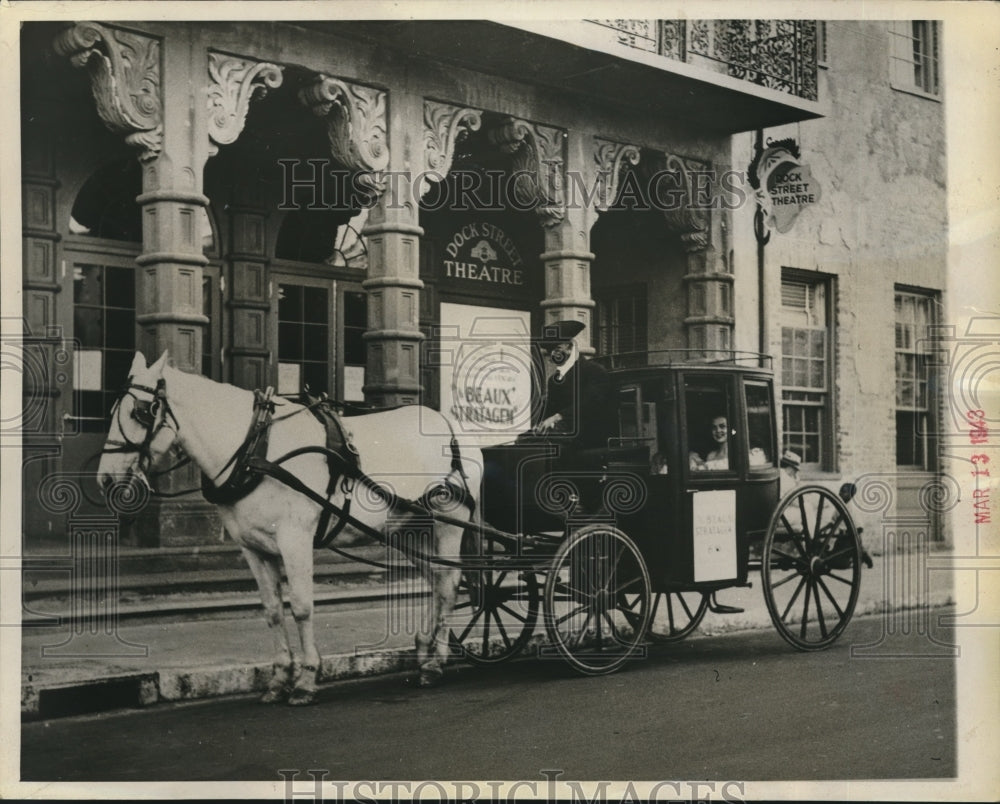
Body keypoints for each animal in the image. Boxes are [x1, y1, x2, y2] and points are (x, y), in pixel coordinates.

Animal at [95, 352, 482, 704]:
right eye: (113, 410)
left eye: (141, 412)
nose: (106, 479)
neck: (255, 450)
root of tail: (452, 426)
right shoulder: (252, 547)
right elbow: (271, 610)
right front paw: (280, 677)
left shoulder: (295, 539)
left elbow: (301, 606)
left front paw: (307, 678)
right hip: (410, 530)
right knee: (435, 580)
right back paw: (424, 650)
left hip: (449, 521)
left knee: (448, 583)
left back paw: (435, 663)